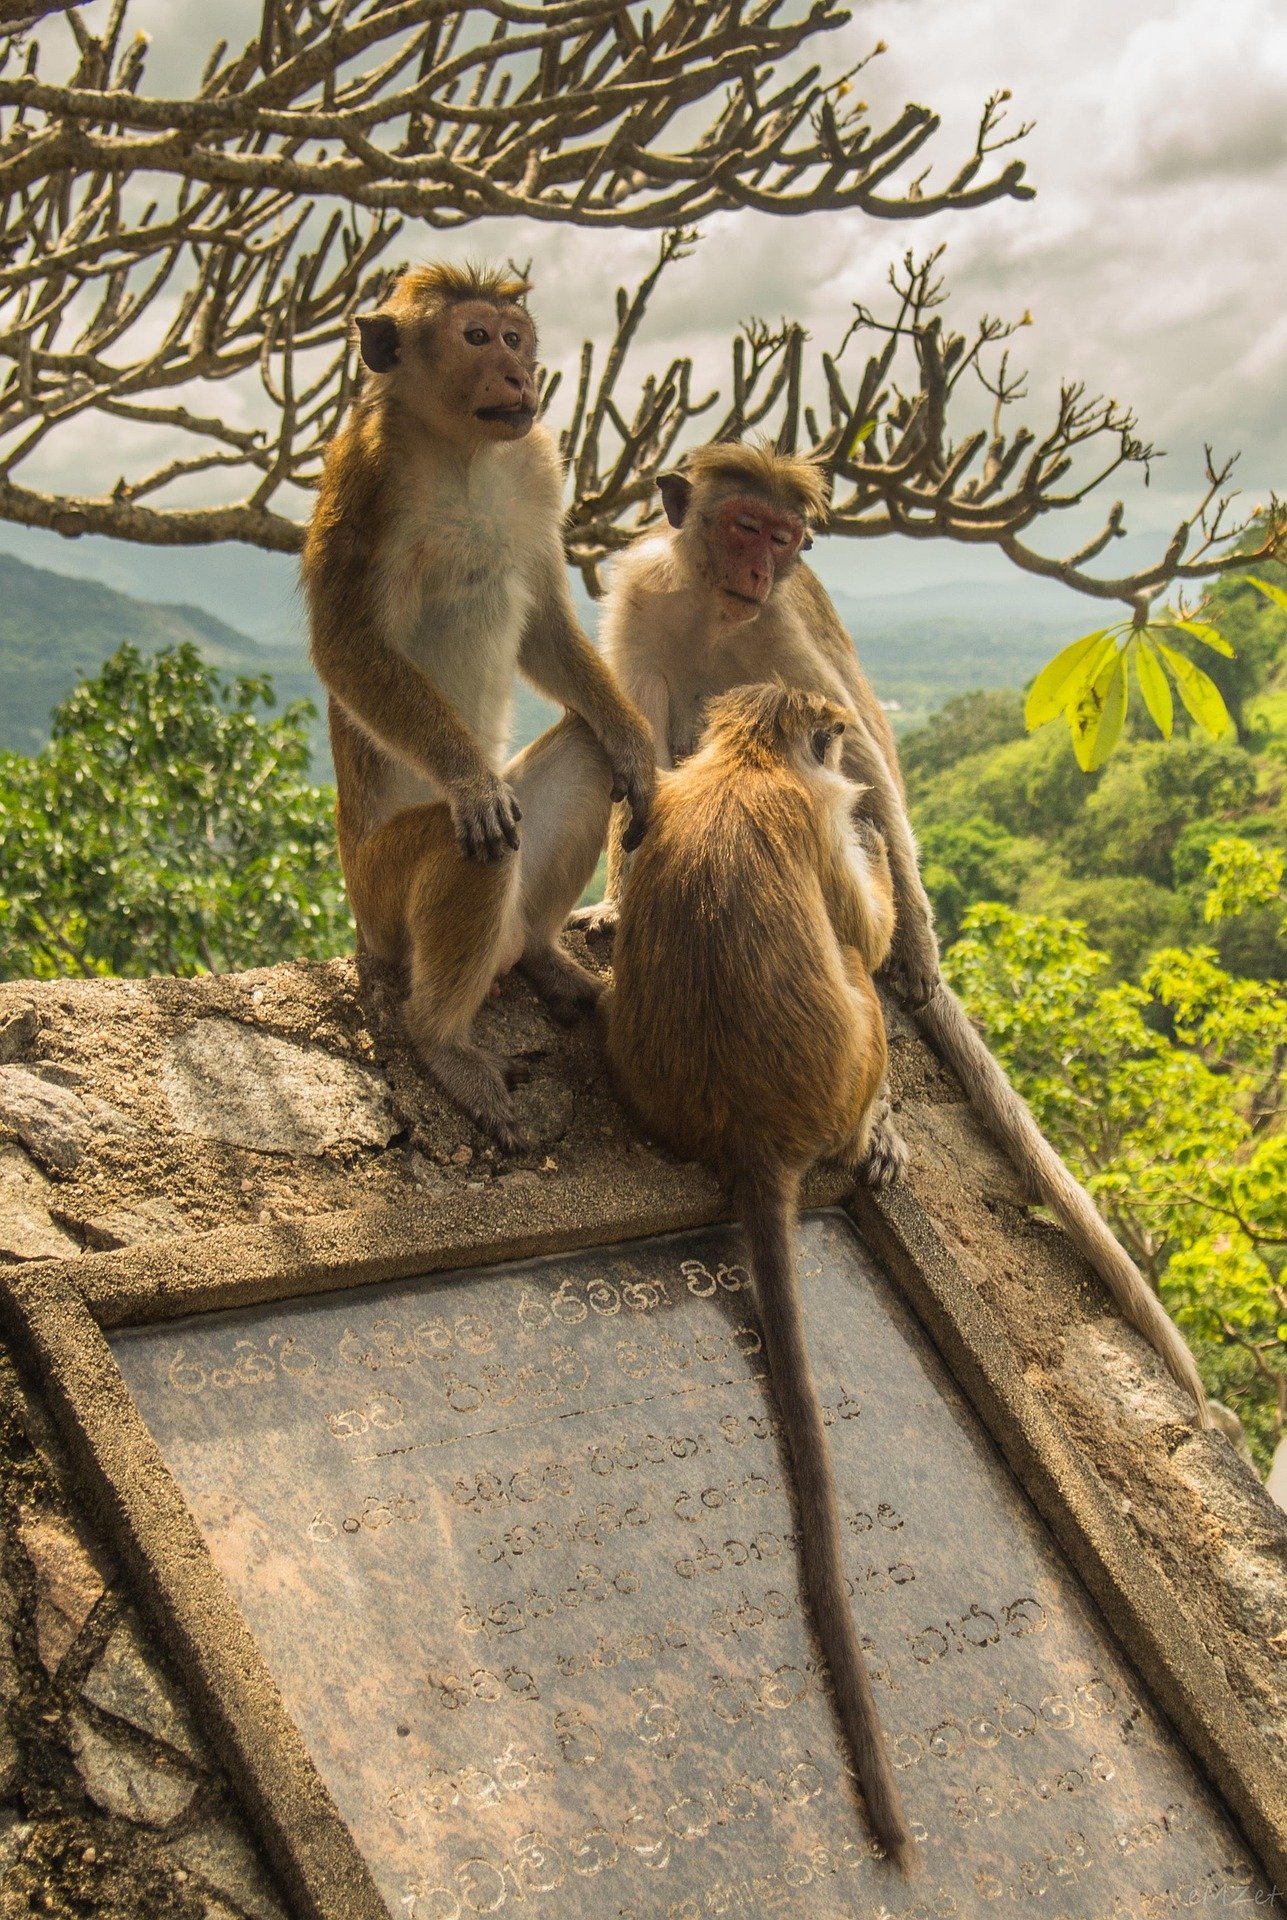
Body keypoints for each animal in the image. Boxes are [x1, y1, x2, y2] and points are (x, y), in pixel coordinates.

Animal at [302, 263, 655, 1149]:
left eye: (513, 336)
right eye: (474, 337)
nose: (520, 374)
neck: (460, 450)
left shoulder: (536, 468)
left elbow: (543, 627)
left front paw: (637, 745)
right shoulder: (365, 479)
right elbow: (346, 646)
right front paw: (467, 780)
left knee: (583, 759)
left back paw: (536, 954)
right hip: (383, 899)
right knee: (476, 848)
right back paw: (442, 1044)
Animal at [577, 439, 1210, 1423]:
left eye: (784, 539)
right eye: (742, 526)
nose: (759, 569)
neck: (716, 605)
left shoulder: (784, 631)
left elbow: (862, 758)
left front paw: (909, 940)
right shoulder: (645, 600)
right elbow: (633, 732)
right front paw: (614, 893)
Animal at [600, 681, 914, 1870]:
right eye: (826, 742)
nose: (849, 751)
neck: (743, 763)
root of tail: (748, 1132)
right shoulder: (813, 814)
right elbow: (867, 933)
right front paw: (878, 833)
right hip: (844, 1066)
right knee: (862, 984)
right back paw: (874, 1126)